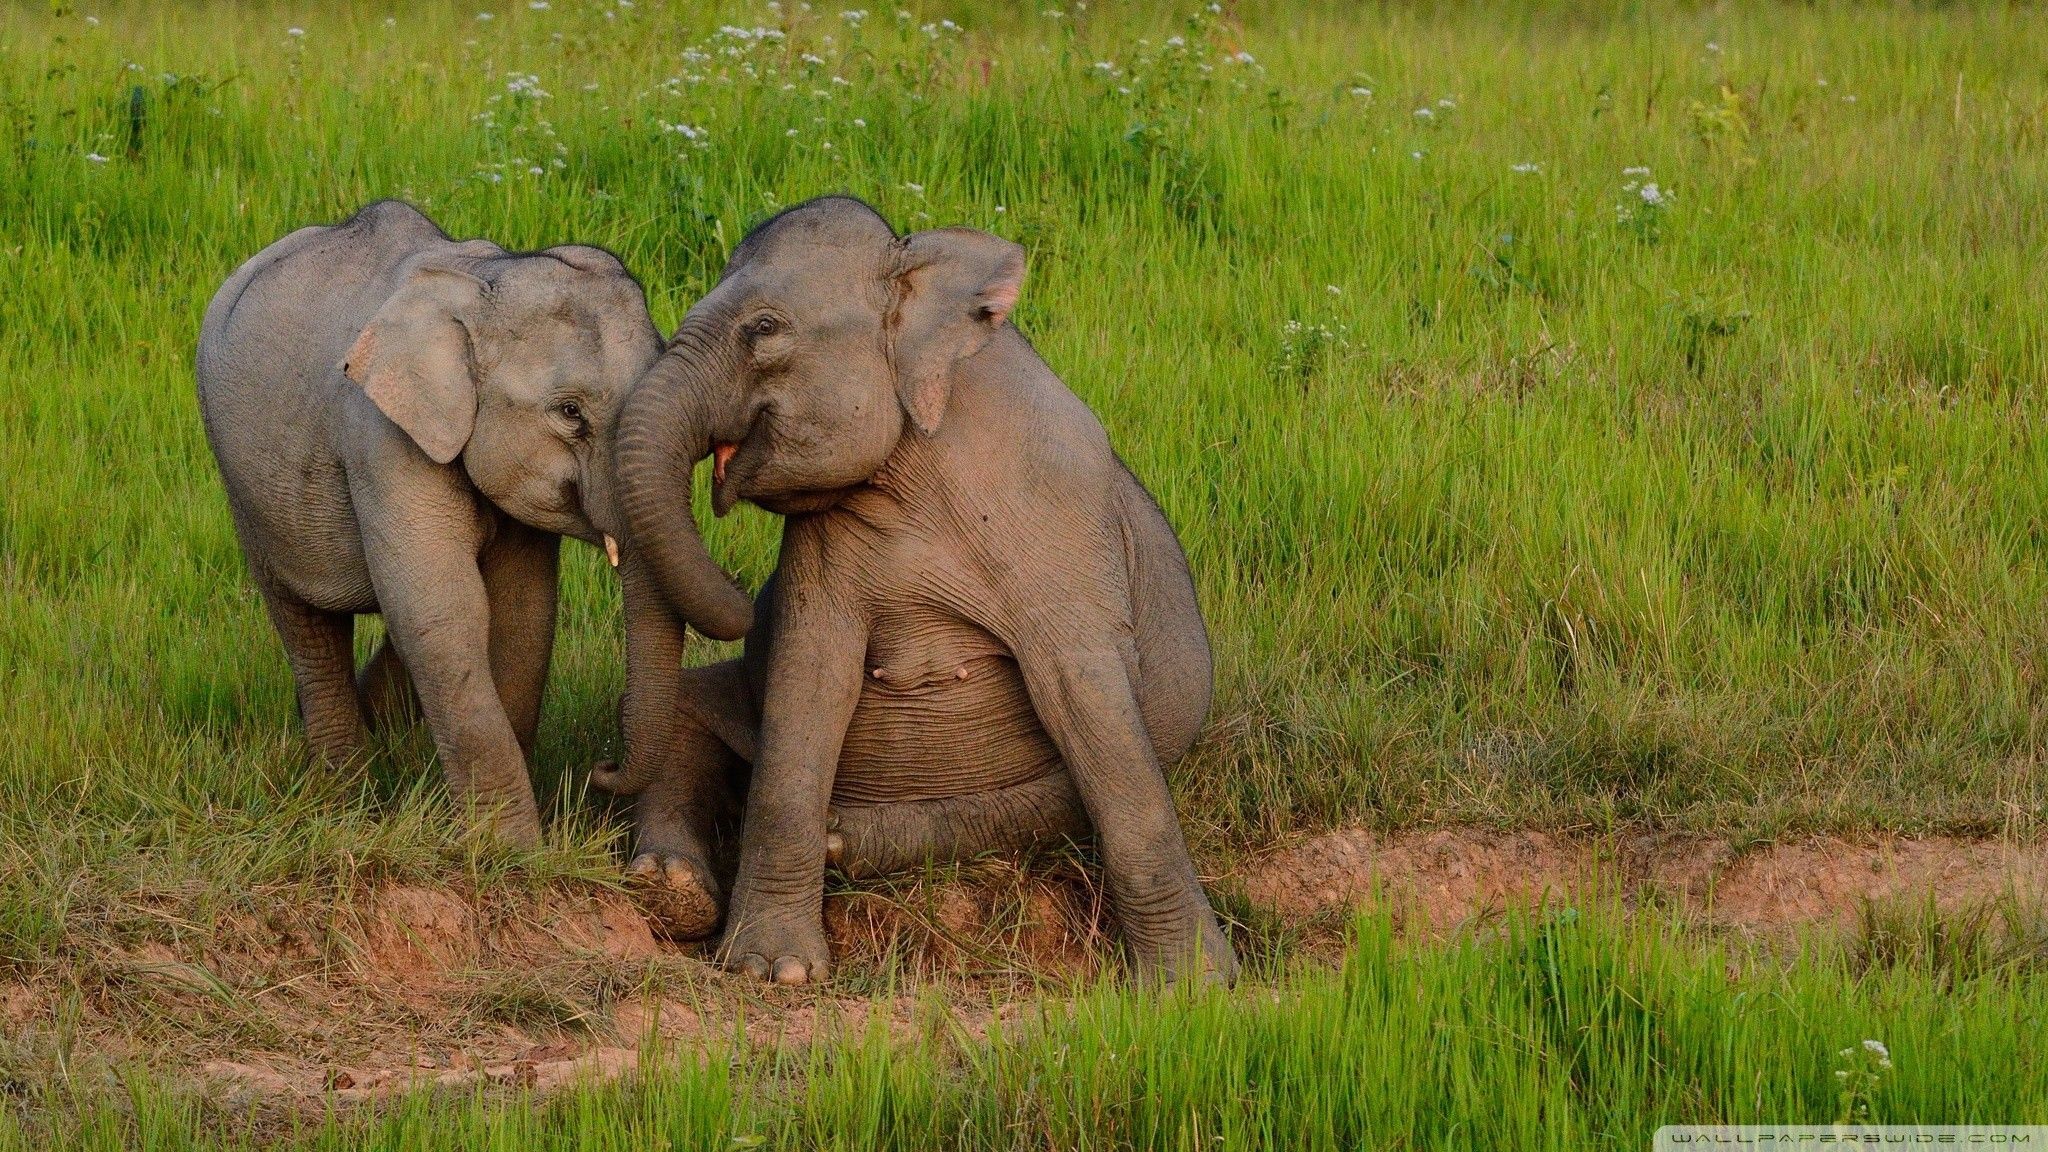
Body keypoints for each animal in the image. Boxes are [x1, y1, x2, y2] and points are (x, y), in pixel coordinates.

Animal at [196, 200, 749, 846]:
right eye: (569, 413)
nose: (602, 766)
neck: (483, 284)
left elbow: (520, 611)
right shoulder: (381, 437)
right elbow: (445, 612)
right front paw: (512, 852)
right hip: (244, 485)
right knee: (305, 620)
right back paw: (345, 789)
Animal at [598, 194, 1238, 985]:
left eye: (765, 329)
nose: (746, 599)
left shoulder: (1058, 510)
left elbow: (1089, 699)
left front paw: (1194, 987)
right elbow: (808, 686)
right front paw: (772, 971)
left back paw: (841, 841)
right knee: (686, 710)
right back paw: (673, 887)